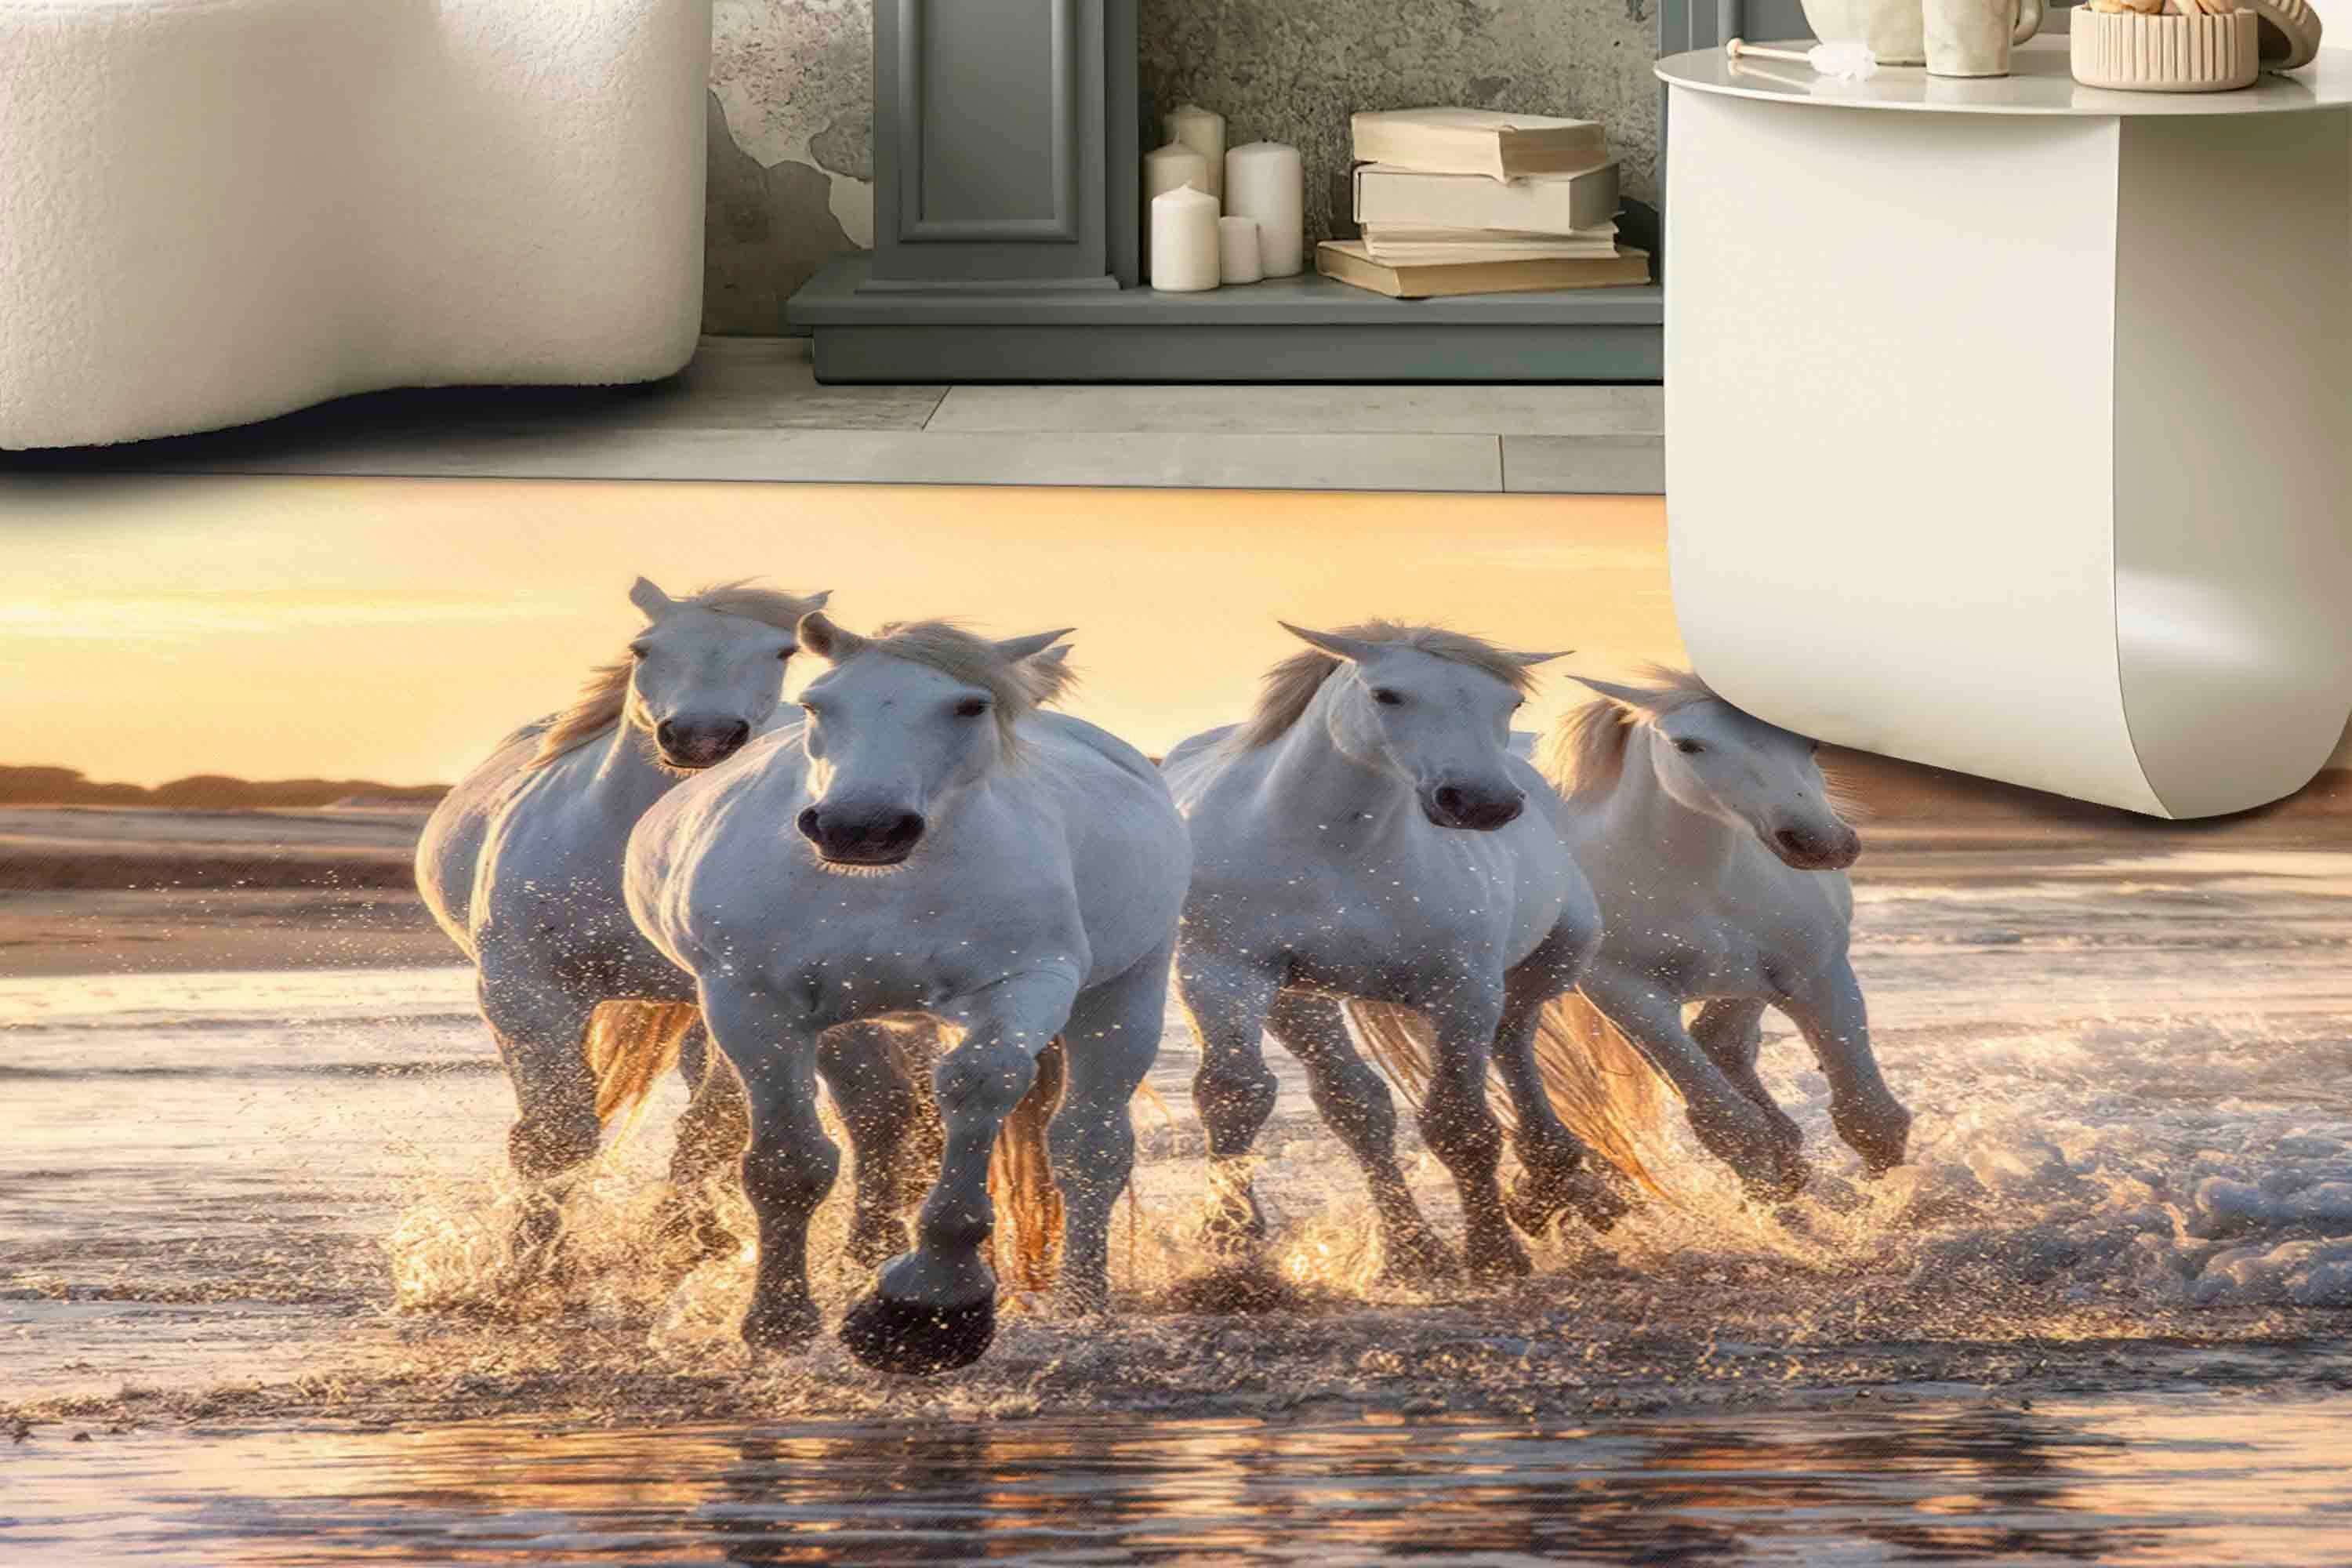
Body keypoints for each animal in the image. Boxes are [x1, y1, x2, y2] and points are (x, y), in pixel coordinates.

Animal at [415, 577, 935, 1278]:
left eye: (781, 652)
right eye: (644, 647)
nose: (702, 738)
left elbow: (711, 1128)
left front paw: (675, 1238)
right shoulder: (525, 991)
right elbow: (556, 1136)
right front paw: (530, 1266)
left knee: (876, 1107)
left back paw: (863, 1249)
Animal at [609, 615, 1191, 1374]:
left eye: (970, 706)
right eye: (819, 704)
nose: (861, 827)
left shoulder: (1027, 984)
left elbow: (978, 1085)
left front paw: (927, 1302)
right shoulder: (752, 1003)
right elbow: (788, 1162)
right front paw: (779, 1320)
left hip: (1126, 993)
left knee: (1089, 1148)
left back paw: (1082, 1303)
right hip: (848, 1022)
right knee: (879, 1123)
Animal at [1160, 622, 1648, 1284]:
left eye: (1510, 702)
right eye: (1387, 695)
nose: (1482, 803)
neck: (1333, 848)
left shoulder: (1461, 988)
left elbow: (1461, 1124)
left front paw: (1494, 1252)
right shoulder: (1223, 971)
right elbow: (1234, 1095)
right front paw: (1228, 1247)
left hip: (1550, 961)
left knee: (1514, 1044)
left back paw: (1551, 1182)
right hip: (1301, 1002)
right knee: (1358, 1107)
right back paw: (1412, 1249)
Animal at [1532, 669, 1912, 1199]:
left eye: (1811, 742)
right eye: (1688, 745)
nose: (1819, 843)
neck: (1698, 882)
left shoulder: (1814, 972)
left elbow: (1870, 1117)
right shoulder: (1628, 996)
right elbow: (1731, 1128)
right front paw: (1782, 1213)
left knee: (1724, 1043)